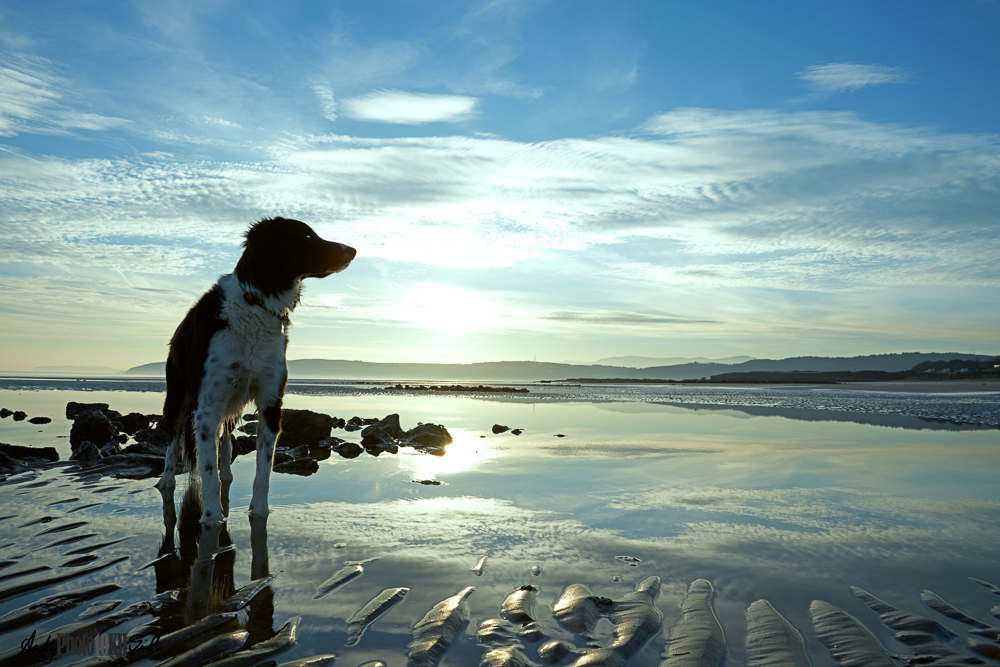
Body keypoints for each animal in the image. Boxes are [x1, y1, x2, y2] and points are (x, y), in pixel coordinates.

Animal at [154, 219, 358, 528]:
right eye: (307, 237)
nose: (353, 251)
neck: (255, 304)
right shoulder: (207, 407)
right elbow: (207, 470)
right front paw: (212, 519)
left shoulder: (271, 402)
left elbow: (263, 469)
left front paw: (260, 514)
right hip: (178, 397)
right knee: (174, 440)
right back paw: (166, 480)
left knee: (225, 438)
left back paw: (227, 473)